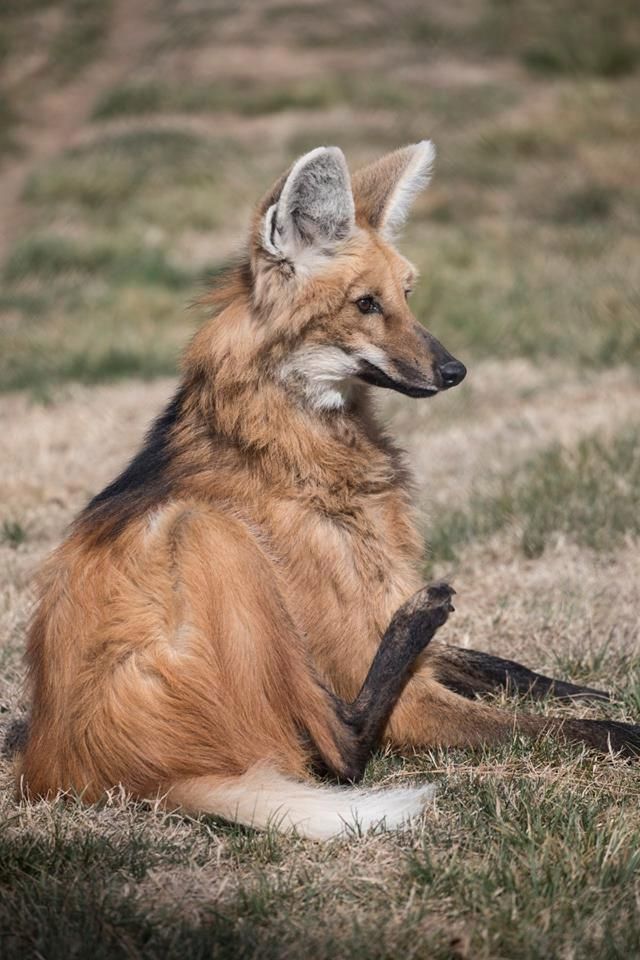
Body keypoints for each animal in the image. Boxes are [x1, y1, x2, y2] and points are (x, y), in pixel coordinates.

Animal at [18, 142, 640, 839]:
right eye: (365, 304)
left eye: (406, 295)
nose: (455, 370)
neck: (302, 451)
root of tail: (81, 774)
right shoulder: (386, 680)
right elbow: (561, 728)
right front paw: (620, 728)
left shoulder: (373, 614)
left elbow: (497, 664)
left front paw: (584, 685)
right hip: (206, 532)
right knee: (342, 754)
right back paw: (418, 620)